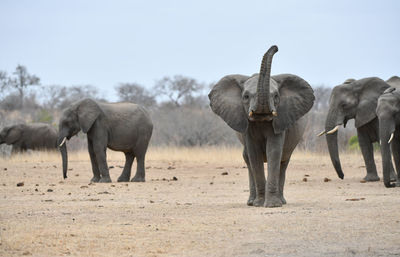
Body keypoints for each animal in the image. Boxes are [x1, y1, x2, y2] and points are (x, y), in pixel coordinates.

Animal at [208, 45, 314, 206]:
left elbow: (274, 151)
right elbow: (254, 155)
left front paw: (272, 205)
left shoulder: (280, 122)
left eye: (276, 96)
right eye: (246, 97)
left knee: (283, 162)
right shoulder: (247, 127)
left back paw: (281, 201)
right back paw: (251, 202)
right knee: (248, 160)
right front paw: (259, 204)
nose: (275, 47)